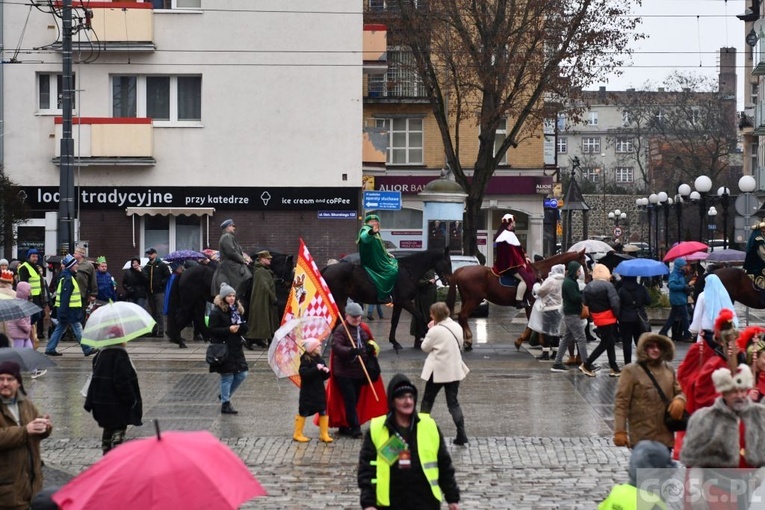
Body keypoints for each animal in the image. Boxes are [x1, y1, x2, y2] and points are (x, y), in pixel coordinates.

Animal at [320, 247, 450, 350]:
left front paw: (394, 342)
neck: (408, 271)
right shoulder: (404, 302)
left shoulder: (398, 303)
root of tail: (327, 268)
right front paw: (426, 332)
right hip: (340, 300)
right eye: (446, 261)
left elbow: (395, 321)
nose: (447, 281)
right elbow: (419, 315)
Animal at [444, 249, 588, 348]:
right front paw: (521, 341)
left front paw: (539, 342)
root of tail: (461, 270)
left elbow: (534, 324)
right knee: (463, 316)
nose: (588, 279)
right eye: (583, 263)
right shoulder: (531, 304)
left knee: (462, 318)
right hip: (474, 300)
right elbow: (531, 323)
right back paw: (468, 340)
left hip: (466, 300)